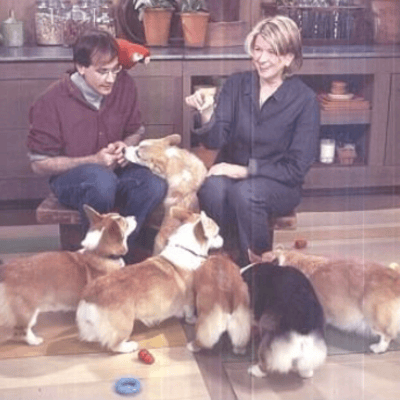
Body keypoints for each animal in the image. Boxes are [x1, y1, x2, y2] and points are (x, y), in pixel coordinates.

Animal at [0, 205, 137, 346]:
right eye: (126, 223)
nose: (134, 216)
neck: (101, 253)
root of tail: (7, 268)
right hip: (27, 309)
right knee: (22, 329)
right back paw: (34, 340)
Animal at [76, 208, 223, 352]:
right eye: (216, 234)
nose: (223, 240)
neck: (187, 249)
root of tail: (89, 296)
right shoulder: (190, 297)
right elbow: (190, 311)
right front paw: (192, 320)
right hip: (125, 325)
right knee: (114, 344)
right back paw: (130, 346)